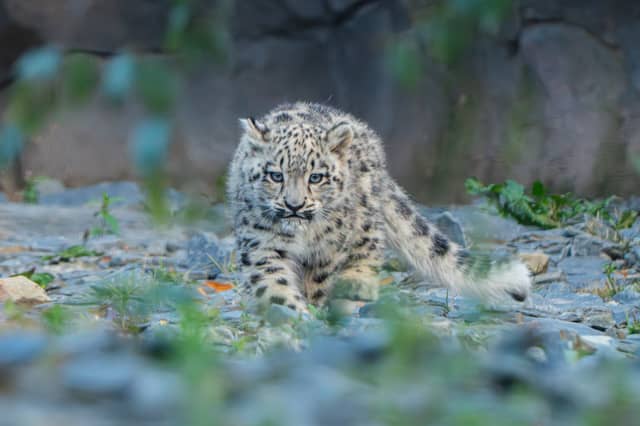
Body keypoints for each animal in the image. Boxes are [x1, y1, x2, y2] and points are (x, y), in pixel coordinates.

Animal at [226, 102, 531, 314]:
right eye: (275, 175)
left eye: (316, 177)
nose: (294, 205)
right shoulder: (262, 243)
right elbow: (272, 280)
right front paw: (293, 310)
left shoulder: (329, 248)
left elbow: (319, 279)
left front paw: (314, 305)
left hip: (365, 223)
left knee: (368, 250)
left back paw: (356, 287)